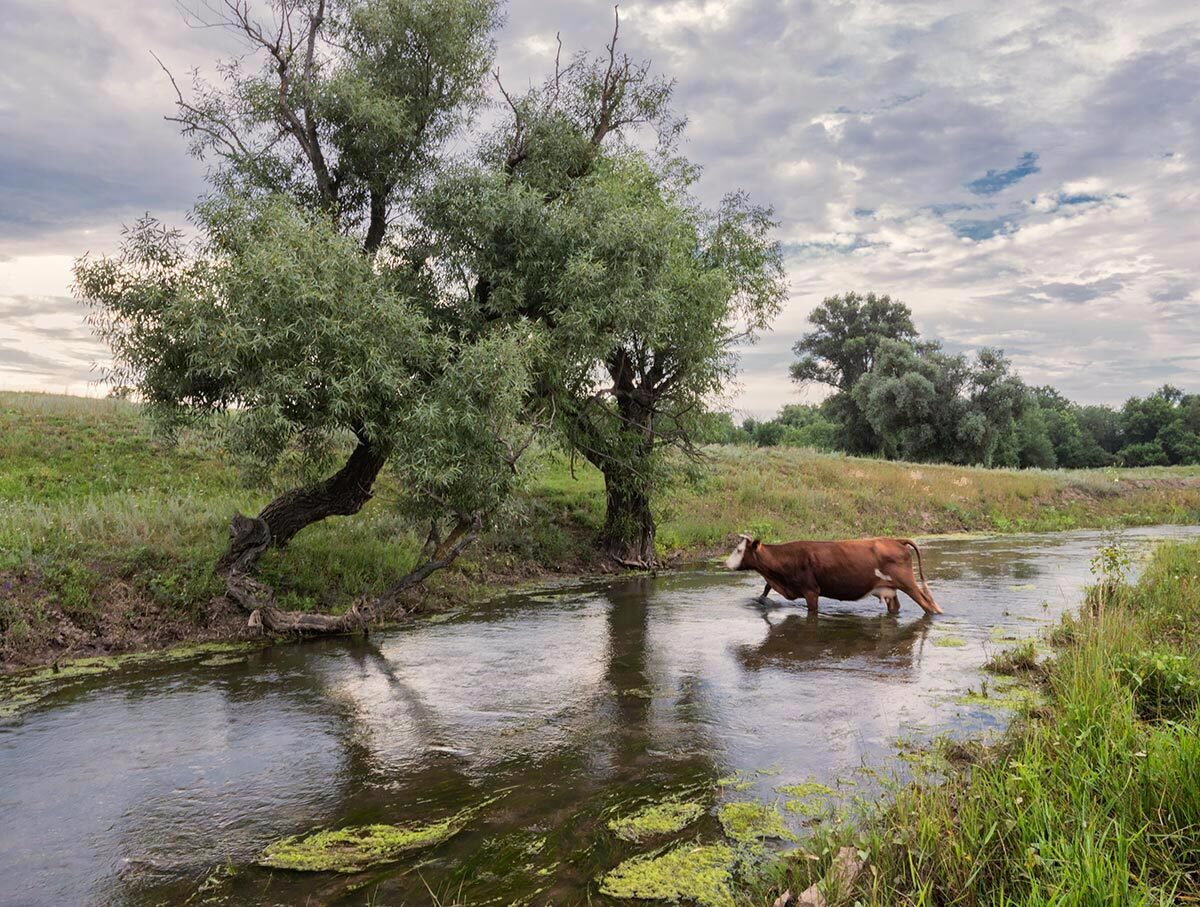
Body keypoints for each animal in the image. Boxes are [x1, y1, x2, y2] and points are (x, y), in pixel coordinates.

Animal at [724, 530, 940, 614]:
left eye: (739, 550)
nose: (726, 563)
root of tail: (896, 540)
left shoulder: (811, 591)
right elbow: (766, 589)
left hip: (908, 583)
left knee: (929, 605)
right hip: (889, 589)